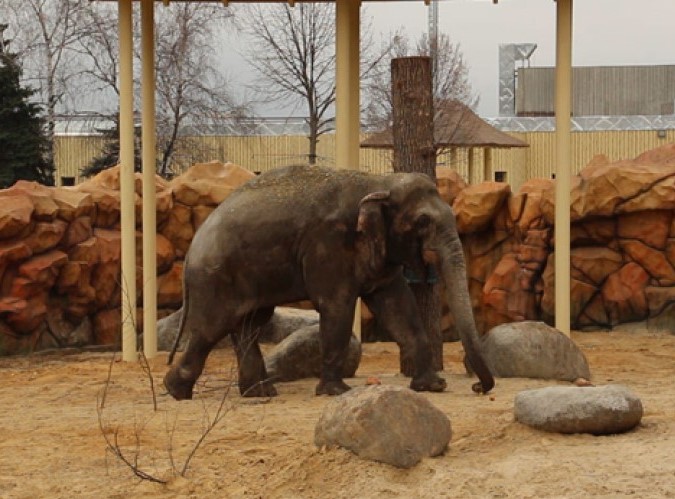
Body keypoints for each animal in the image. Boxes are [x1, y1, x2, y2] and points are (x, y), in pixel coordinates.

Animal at [161, 166, 494, 400]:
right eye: (423, 222)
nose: (478, 387)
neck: (378, 182)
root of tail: (191, 248)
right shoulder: (328, 245)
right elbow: (338, 307)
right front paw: (336, 392)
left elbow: (398, 307)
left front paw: (431, 386)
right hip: (215, 277)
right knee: (211, 327)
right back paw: (177, 391)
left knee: (250, 324)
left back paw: (258, 393)